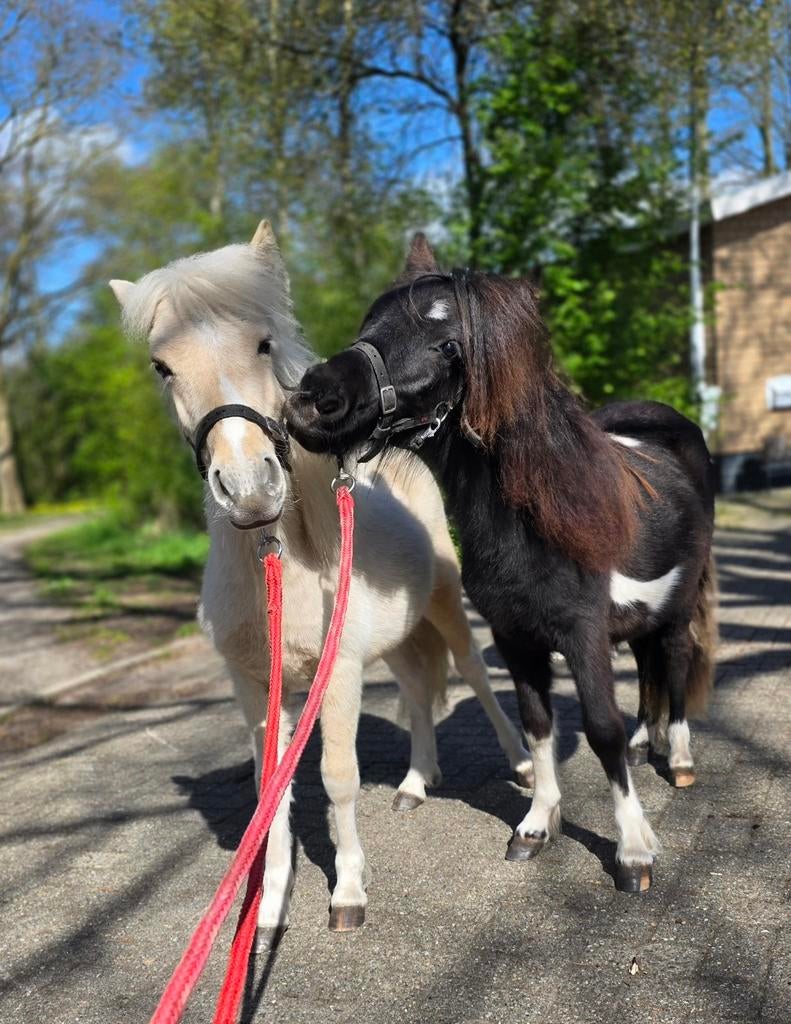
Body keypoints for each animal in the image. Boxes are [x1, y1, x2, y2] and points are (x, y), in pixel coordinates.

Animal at [108, 223, 532, 939]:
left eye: (264, 343)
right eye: (162, 367)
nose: (250, 490)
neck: (282, 568)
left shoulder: (338, 676)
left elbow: (338, 778)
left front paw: (349, 892)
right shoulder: (255, 687)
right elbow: (269, 792)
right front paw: (270, 903)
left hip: (445, 606)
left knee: (472, 673)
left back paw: (524, 767)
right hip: (394, 640)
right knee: (417, 690)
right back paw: (415, 786)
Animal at [285, 233, 718, 893]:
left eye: (447, 342)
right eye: (370, 323)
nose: (313, 401)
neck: (543, 519)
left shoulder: (583, 635)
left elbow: (602, 730)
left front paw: (635, 851)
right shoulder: (516, 638)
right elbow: (538, 725)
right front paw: (538, 825)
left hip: (676, 607)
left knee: (671, 665)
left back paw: (682, 758)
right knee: (647, 667)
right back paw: (651, 742)